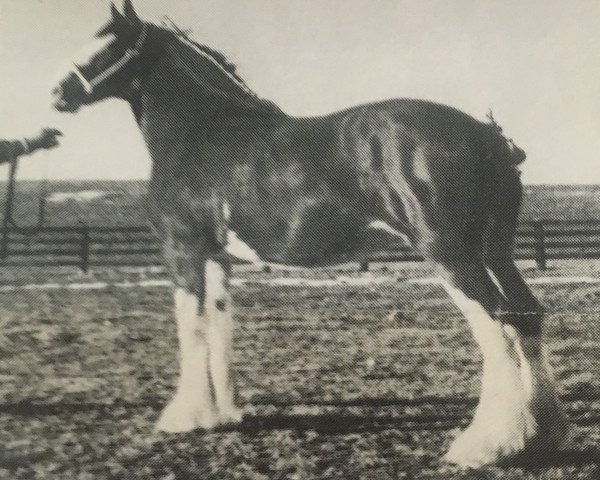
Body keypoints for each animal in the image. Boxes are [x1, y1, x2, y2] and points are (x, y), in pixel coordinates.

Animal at [50, 0, 568, 464]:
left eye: (107, 45)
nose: (58, 94)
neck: (202, 132)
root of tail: (487, 135)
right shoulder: (217, 257)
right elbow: (219, 325)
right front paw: (223, 414)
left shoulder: (183, 251)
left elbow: (190, 327)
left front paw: (184, 416)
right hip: (495, 252)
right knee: (527, 316)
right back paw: (542, 433)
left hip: (451, 255)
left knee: (497, 328)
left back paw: (487, 446)